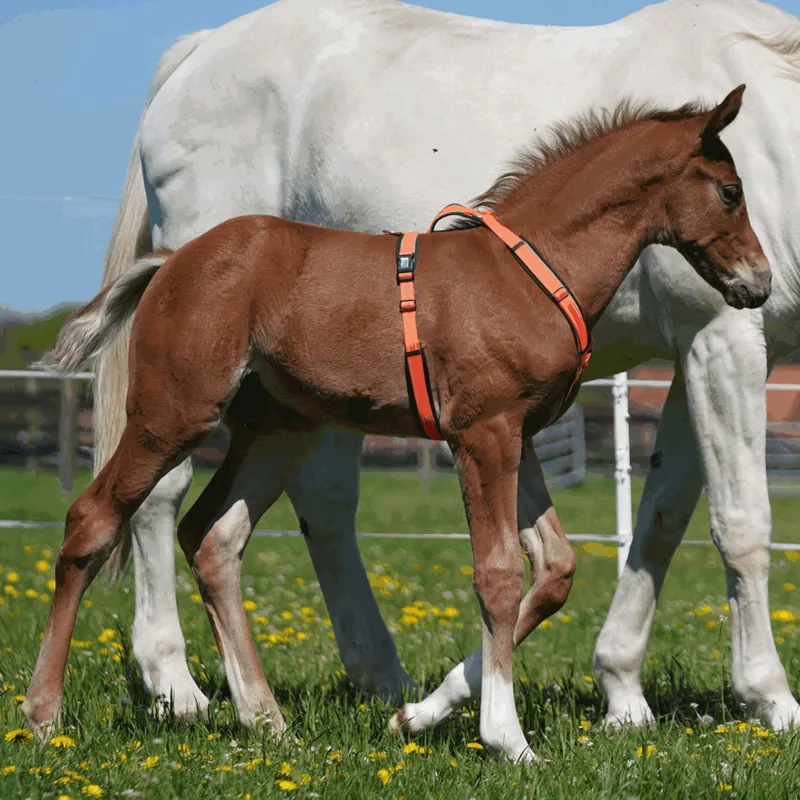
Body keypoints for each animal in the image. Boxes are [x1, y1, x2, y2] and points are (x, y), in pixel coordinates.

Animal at [26, 87, 767, 762]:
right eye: (731, 191)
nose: (758, 284)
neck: (529, 272)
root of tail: (171, 261)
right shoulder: (482, 434)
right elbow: (498, 572)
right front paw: (507, 739)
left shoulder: (517, 436)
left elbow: (553, 569)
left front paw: (417, 714)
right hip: (172, 413)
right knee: (94, 519)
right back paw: (44, 712)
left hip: (278, 429)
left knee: (213, 537)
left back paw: (265, 720)